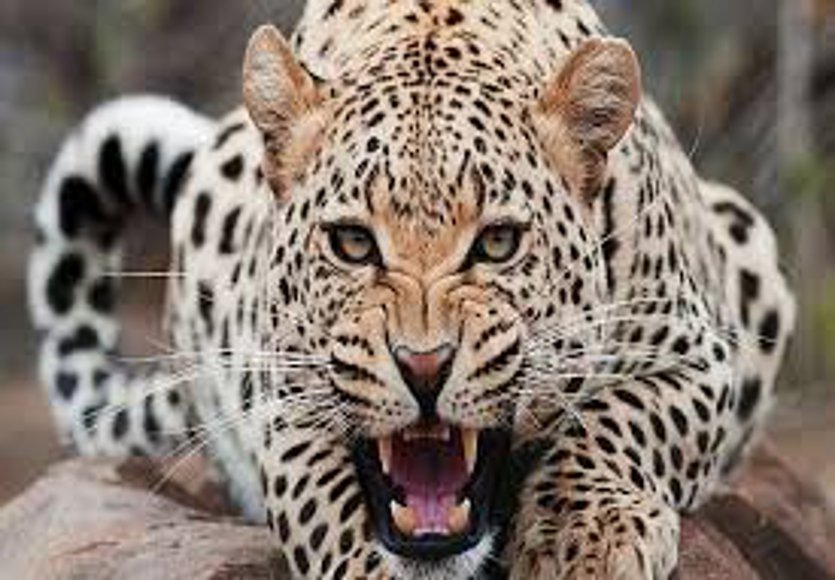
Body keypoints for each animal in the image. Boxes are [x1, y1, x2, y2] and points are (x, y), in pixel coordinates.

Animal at [28, 1, 796, 578]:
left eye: (497, 243)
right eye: (352, 243)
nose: (423, 367)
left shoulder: (697, 352)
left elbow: (621, 420)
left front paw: (584, 540)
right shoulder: (284, 401)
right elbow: (330, 514)